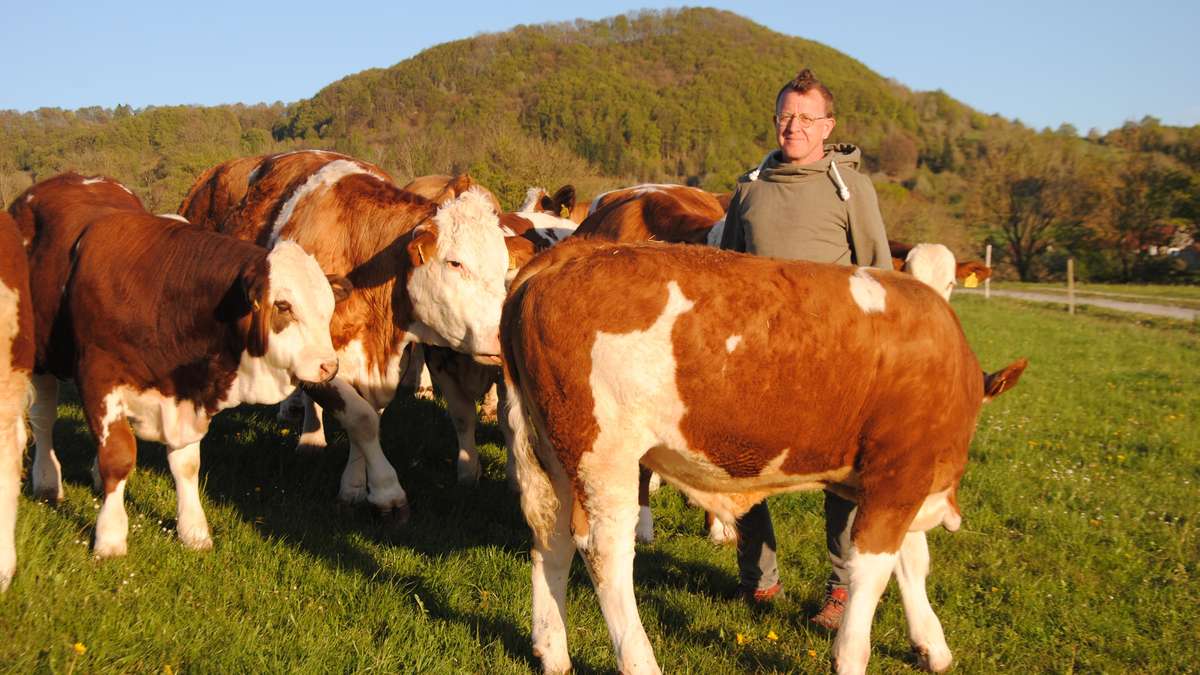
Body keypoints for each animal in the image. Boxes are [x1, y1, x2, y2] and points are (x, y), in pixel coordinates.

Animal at [13, 173, 347, 558]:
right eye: (283, 305)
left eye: (327, 306)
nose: (328, 366)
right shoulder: (99, 378)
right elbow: (118, 454)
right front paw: (110, 536)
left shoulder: (187, 393)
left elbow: (186, 465)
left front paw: (193, 529)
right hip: (41, 357)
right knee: (43, 418)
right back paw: (47, 481)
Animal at [180, 151, 510, 520]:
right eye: (455, 263)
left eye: (503, 265)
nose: (502, 335)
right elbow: (360, 418)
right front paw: (386, 491)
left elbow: (369, 419)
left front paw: (354, 486)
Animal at [501, 238, 1026, 675]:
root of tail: (572, 253)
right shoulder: (900, 473)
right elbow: (873, 571)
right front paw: (852, 655)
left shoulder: (901, 477)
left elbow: (912, 562)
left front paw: (931, 645)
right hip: (603, 454)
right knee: (605, 552)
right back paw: (638, 662)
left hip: (555, 450)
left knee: (551, 540)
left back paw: (552, 653)